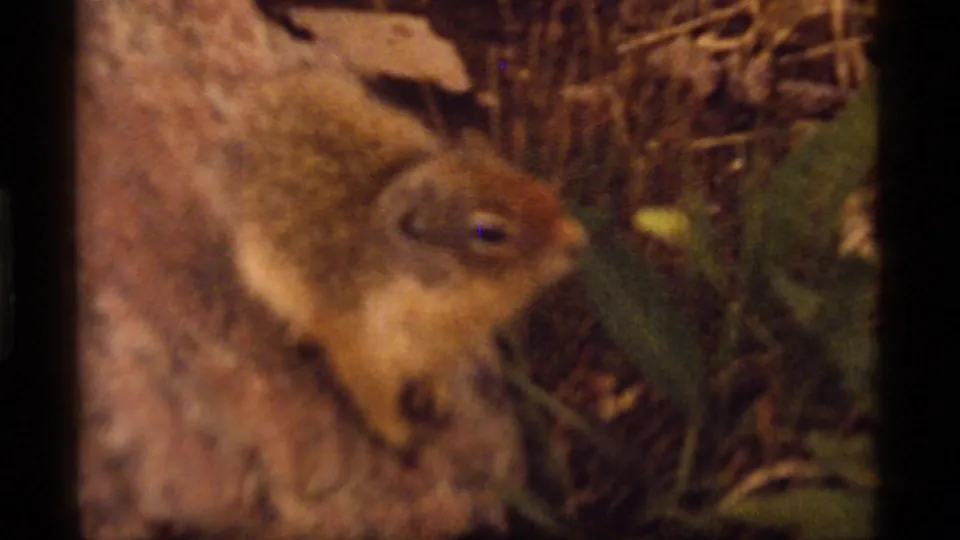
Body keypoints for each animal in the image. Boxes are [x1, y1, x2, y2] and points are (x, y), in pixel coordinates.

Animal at [225, 61, 587, 451]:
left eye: (528, 180)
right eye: (489, 232)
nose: (578, 241)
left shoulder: (444, 350)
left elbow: (435, 374)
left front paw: (436, 398)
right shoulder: (362, 352)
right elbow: (376, 399)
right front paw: (402, 438)